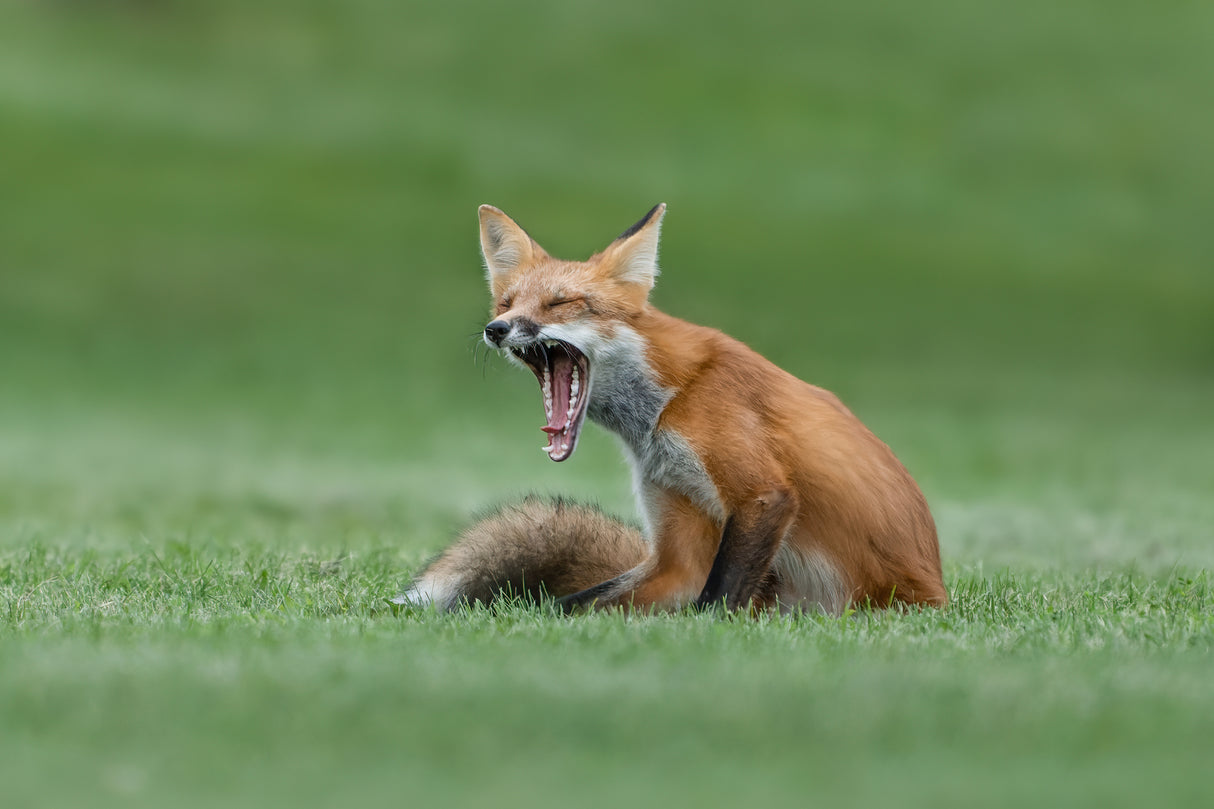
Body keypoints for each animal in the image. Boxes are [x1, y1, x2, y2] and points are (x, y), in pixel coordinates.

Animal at [400, 204, 947, 613]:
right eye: (506, 303)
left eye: (560, 303)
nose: (496, 330)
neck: (666, 402)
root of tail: (938, 591)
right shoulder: (676, 538)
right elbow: (573, 604)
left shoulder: (762, 495)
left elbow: (715, 602)